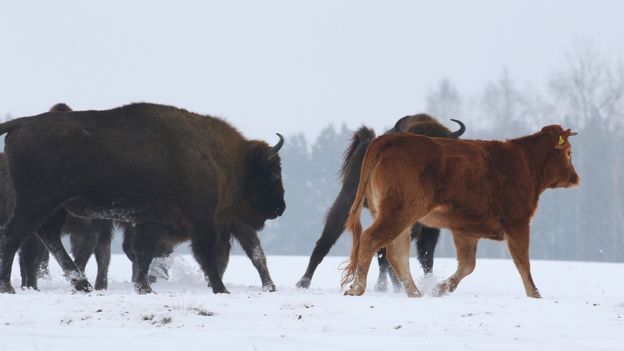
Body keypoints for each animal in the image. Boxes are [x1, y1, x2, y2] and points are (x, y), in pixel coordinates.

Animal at [0, 103, 286, 296]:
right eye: (273, 172)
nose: (280, 208)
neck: (219, 156)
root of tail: (21, 124)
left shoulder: (152, 221)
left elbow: (144, 254)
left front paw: (144, 287)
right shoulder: (201, 220)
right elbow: (206, 255)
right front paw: (221, 289)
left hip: (55, 207)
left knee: (46, 235)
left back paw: (82, 284)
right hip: (37, 203)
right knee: (14, 236)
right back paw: (9, 287)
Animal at [294, 114, 466, 290]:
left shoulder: (428, 226)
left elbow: (426, 255)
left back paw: (386, 286)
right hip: (347, 201)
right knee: (326, 241)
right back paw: (303, 282)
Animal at [342, 125, 580, 298]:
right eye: (569, 153)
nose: (575, 178)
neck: (525, 163)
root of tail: (386, 140)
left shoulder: (466, 230)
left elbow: (468, 265)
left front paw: (441, 288)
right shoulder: (517, 222)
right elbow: (523, 263)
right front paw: (535, 294)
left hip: (400, 216)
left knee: (396, 253)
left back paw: (415, 293)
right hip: (398, 212)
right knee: (370, 240)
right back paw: (357, 288)